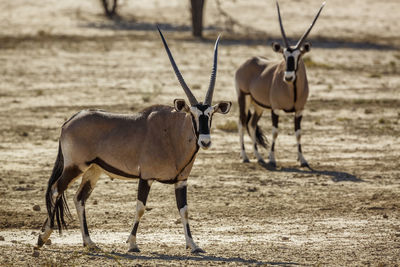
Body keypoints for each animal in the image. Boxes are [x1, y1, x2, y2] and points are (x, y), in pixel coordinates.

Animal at [36, 27, 233, 255]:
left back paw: (89, 242)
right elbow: (140, 208)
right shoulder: (145, 177)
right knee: (56, 189)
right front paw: (132, 244)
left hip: (93, 170)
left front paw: (193, 245)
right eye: (191, 114)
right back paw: (42, 237)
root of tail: (68, 122)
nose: (205, 142)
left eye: (210, 114)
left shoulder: (181, 181)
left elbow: (184, 210)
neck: (172, 135)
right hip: (75, 166)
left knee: (79, 198)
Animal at [236, 1, 324, 170]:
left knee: (252, 124)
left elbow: (298, 133)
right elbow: (275, 132)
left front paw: (302, 159)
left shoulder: (299, 110)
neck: (293, 90)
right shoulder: (275, 109)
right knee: (242, 124)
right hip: (244, 98)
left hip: (259, 106)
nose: (288, 77)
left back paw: (259, 157)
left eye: (298, 56)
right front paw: (272, 159)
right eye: (283, 55)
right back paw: (245, 157)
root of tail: (247, 62)